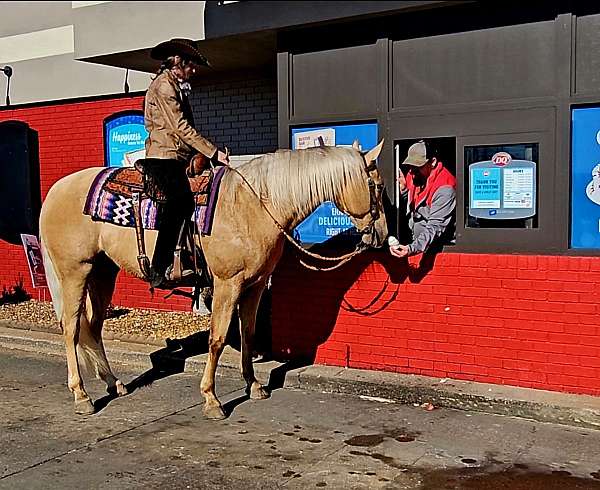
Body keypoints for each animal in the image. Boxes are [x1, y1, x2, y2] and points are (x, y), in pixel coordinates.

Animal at [39, 141, 386, 418]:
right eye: (377, 188)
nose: (381, 236)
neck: (255, 204)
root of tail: (55, 191)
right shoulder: (226, 284)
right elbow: (217, 339)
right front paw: (211, 399)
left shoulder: (254, 285)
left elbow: (248, 334)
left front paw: (254, 385)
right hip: (75, 271)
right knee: (71, 328)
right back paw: (82, 395)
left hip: (102, 272)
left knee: (93, 326)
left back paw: (114, 383)